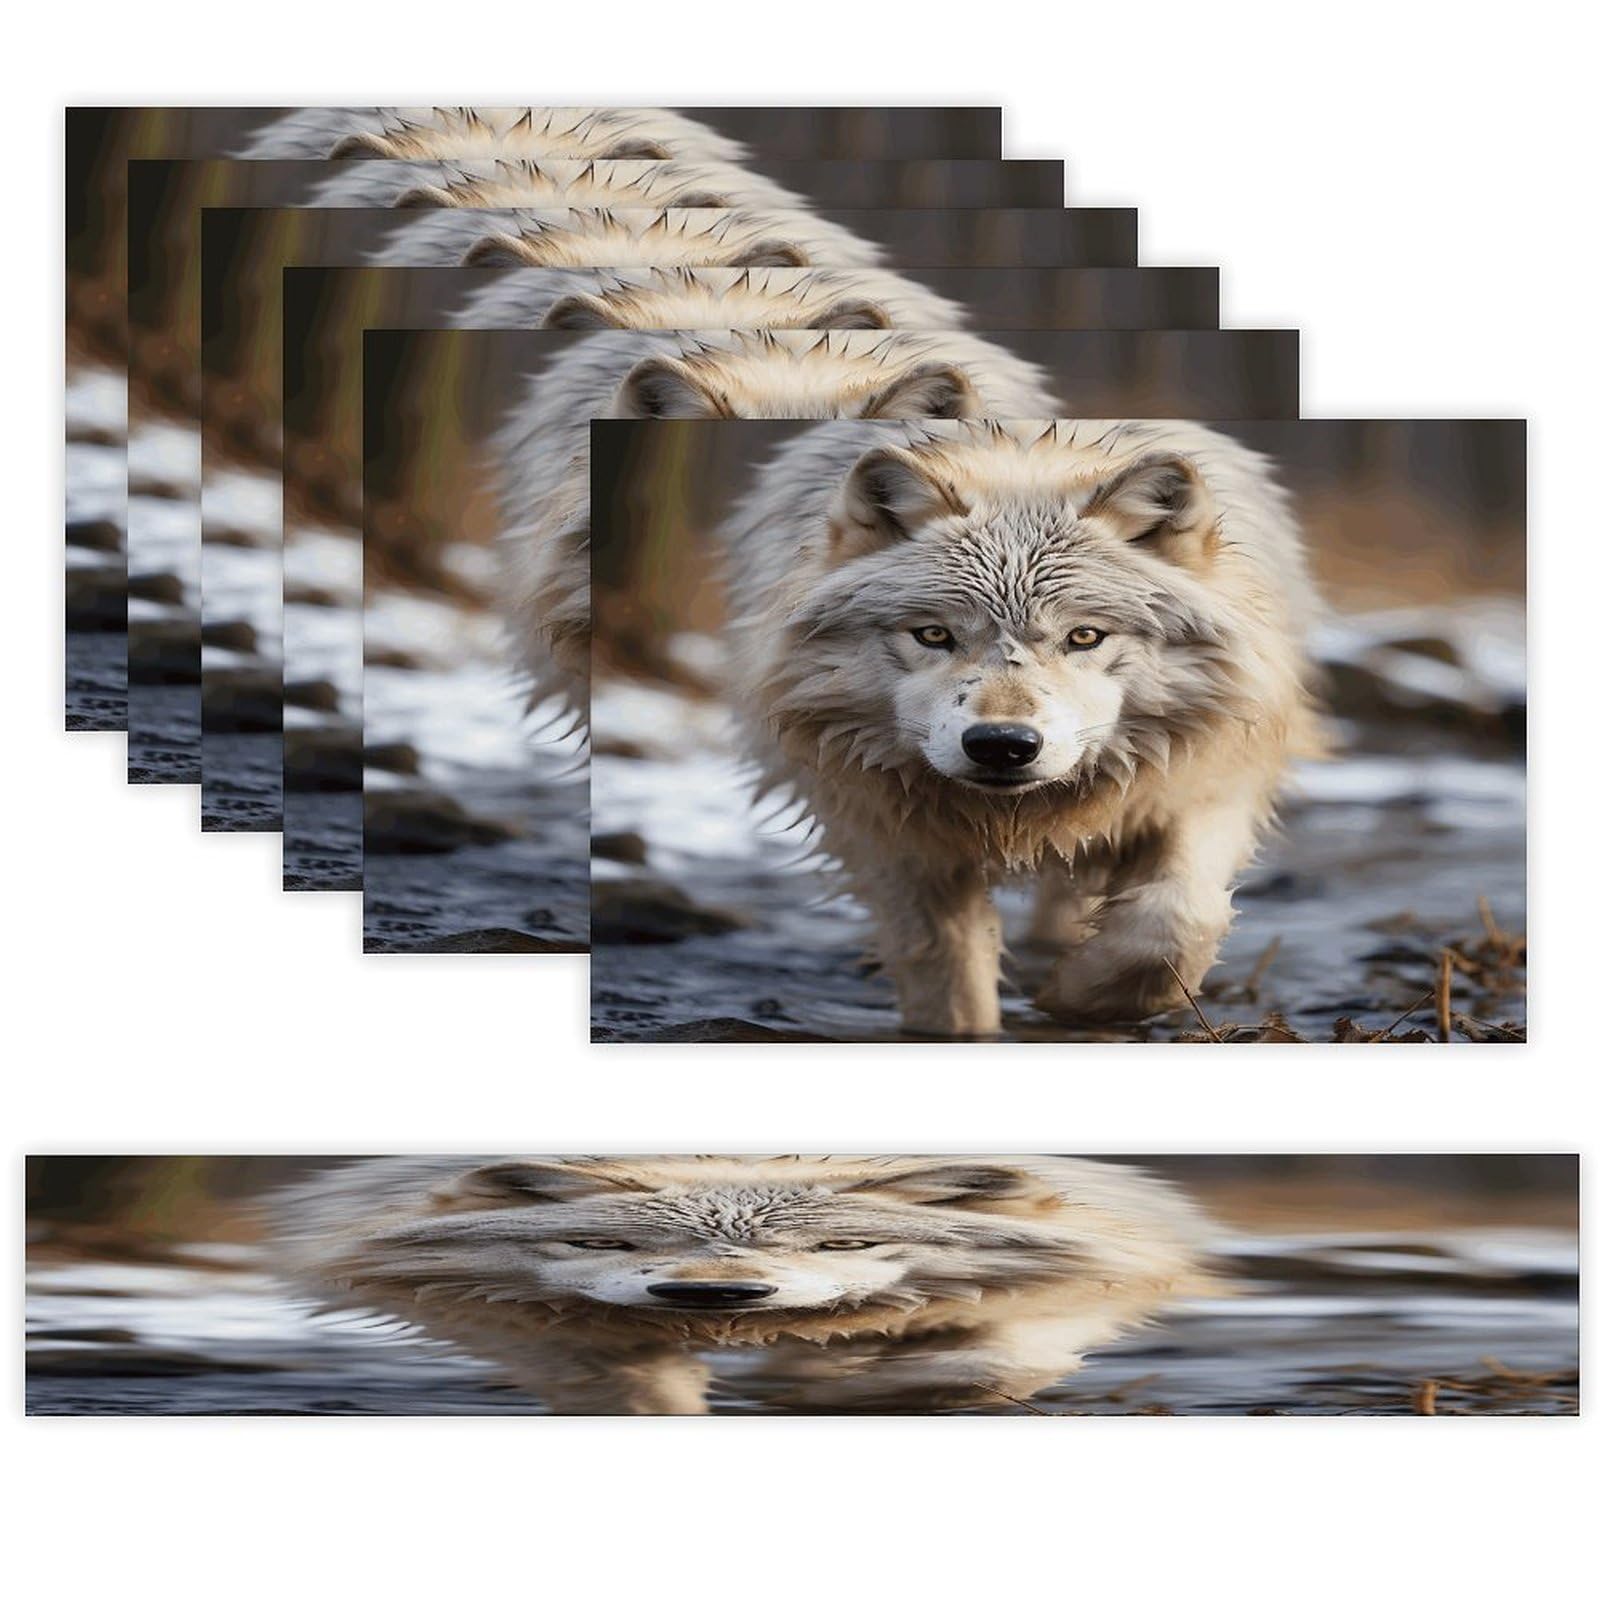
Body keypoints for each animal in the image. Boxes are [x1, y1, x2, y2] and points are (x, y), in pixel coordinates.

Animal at [720, 419, 1322, 1032]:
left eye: (1084, 636)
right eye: (934, 635)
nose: (1001, 745)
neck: (1016, 822)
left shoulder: (1203, 782)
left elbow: (1174, 920)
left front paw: (1076, 998)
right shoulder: (884, 834)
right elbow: (947, 977)